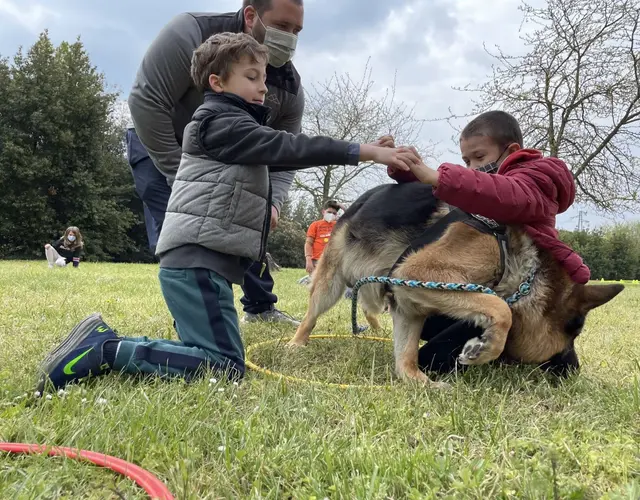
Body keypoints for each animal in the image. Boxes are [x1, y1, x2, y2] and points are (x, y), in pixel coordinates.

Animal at [288, 183, 624, 386]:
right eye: (573, 332)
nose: (574, 370)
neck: (526, 274)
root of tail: (359, 202)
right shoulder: (420, 270)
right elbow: (501, 309)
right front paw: (483, 349)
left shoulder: (408, 299)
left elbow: (405, 357)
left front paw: (417, 381)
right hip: (330, 284)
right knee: (311, 315)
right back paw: (296, 343)